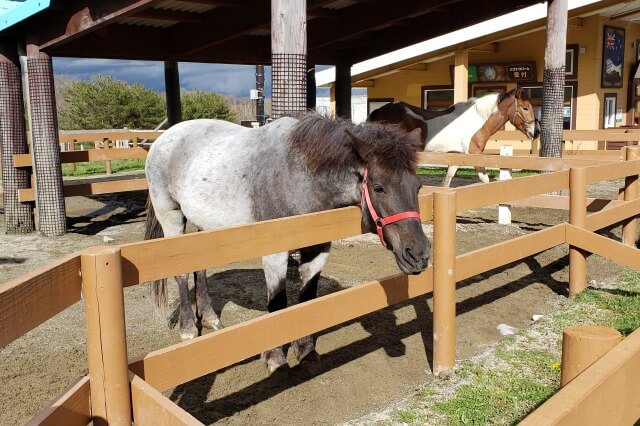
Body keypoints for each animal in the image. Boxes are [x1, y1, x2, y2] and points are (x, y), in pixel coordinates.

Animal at [142, 112, 428, 372]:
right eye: (378, 187)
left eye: (418, 185)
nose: (419, 254)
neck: (299, 176)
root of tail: (162, 139)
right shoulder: (274, 253)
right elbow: (278, 304)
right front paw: (275, 359)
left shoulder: (318, 250)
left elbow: (307, 298)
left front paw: (306, 351)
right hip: (172, 218)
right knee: (180, 275)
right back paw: (189, 328)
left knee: (199, 269)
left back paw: (210, 318)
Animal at [370, 89, 540, 187]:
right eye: (525, 108)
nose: (536, 132)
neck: (478, 118)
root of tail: (380, 111)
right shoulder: (474, 155)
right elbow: (485, 180)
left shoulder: (456, 156)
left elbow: (447, 181)